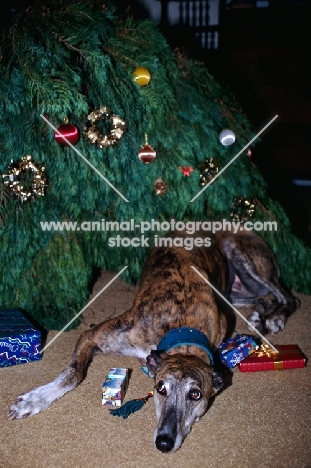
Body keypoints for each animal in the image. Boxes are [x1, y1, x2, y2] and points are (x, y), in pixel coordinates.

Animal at [9, 230, 300, 454]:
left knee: (287, 296)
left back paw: (274, 317)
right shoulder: (94, 335)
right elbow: (74, 374)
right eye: (160, 388)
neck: (181, 324)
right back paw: (262, 314)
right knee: (267, 296)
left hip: (245, 258)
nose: (164, 443)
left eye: (195, 394)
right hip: (235, 284)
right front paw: (33, 400)